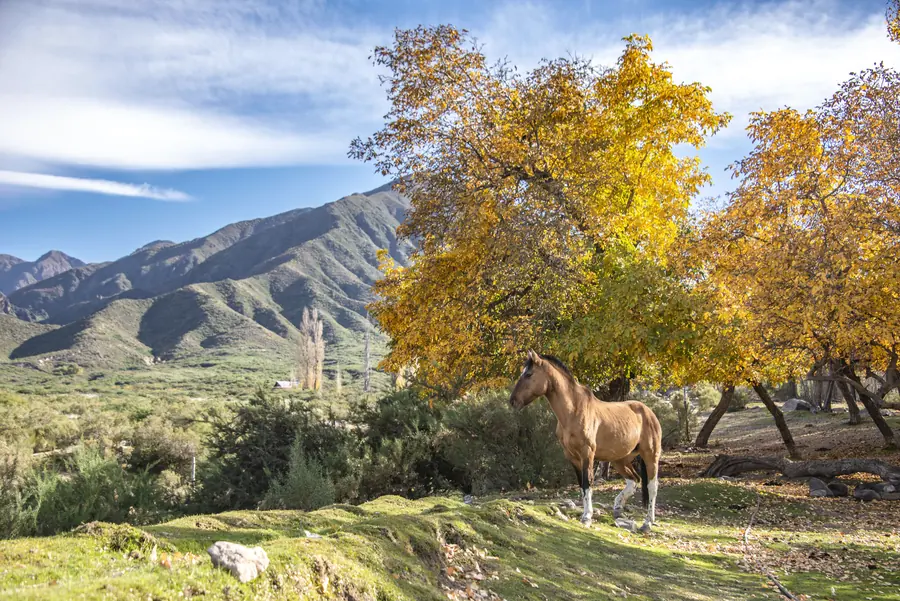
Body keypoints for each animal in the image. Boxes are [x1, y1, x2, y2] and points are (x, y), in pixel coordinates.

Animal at [509, 350, 662, 532]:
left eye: (529, 374)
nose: (513, 401)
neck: (574, 411)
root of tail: (649, 413)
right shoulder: (572, 456)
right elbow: (581, 484)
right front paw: (586, 514)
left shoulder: (587, 453)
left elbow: (587, 482)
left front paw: (587, 517)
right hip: (619, 460)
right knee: (634, 480)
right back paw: (618, 508)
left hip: (650, 456)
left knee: (652, 486)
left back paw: (647, 522)